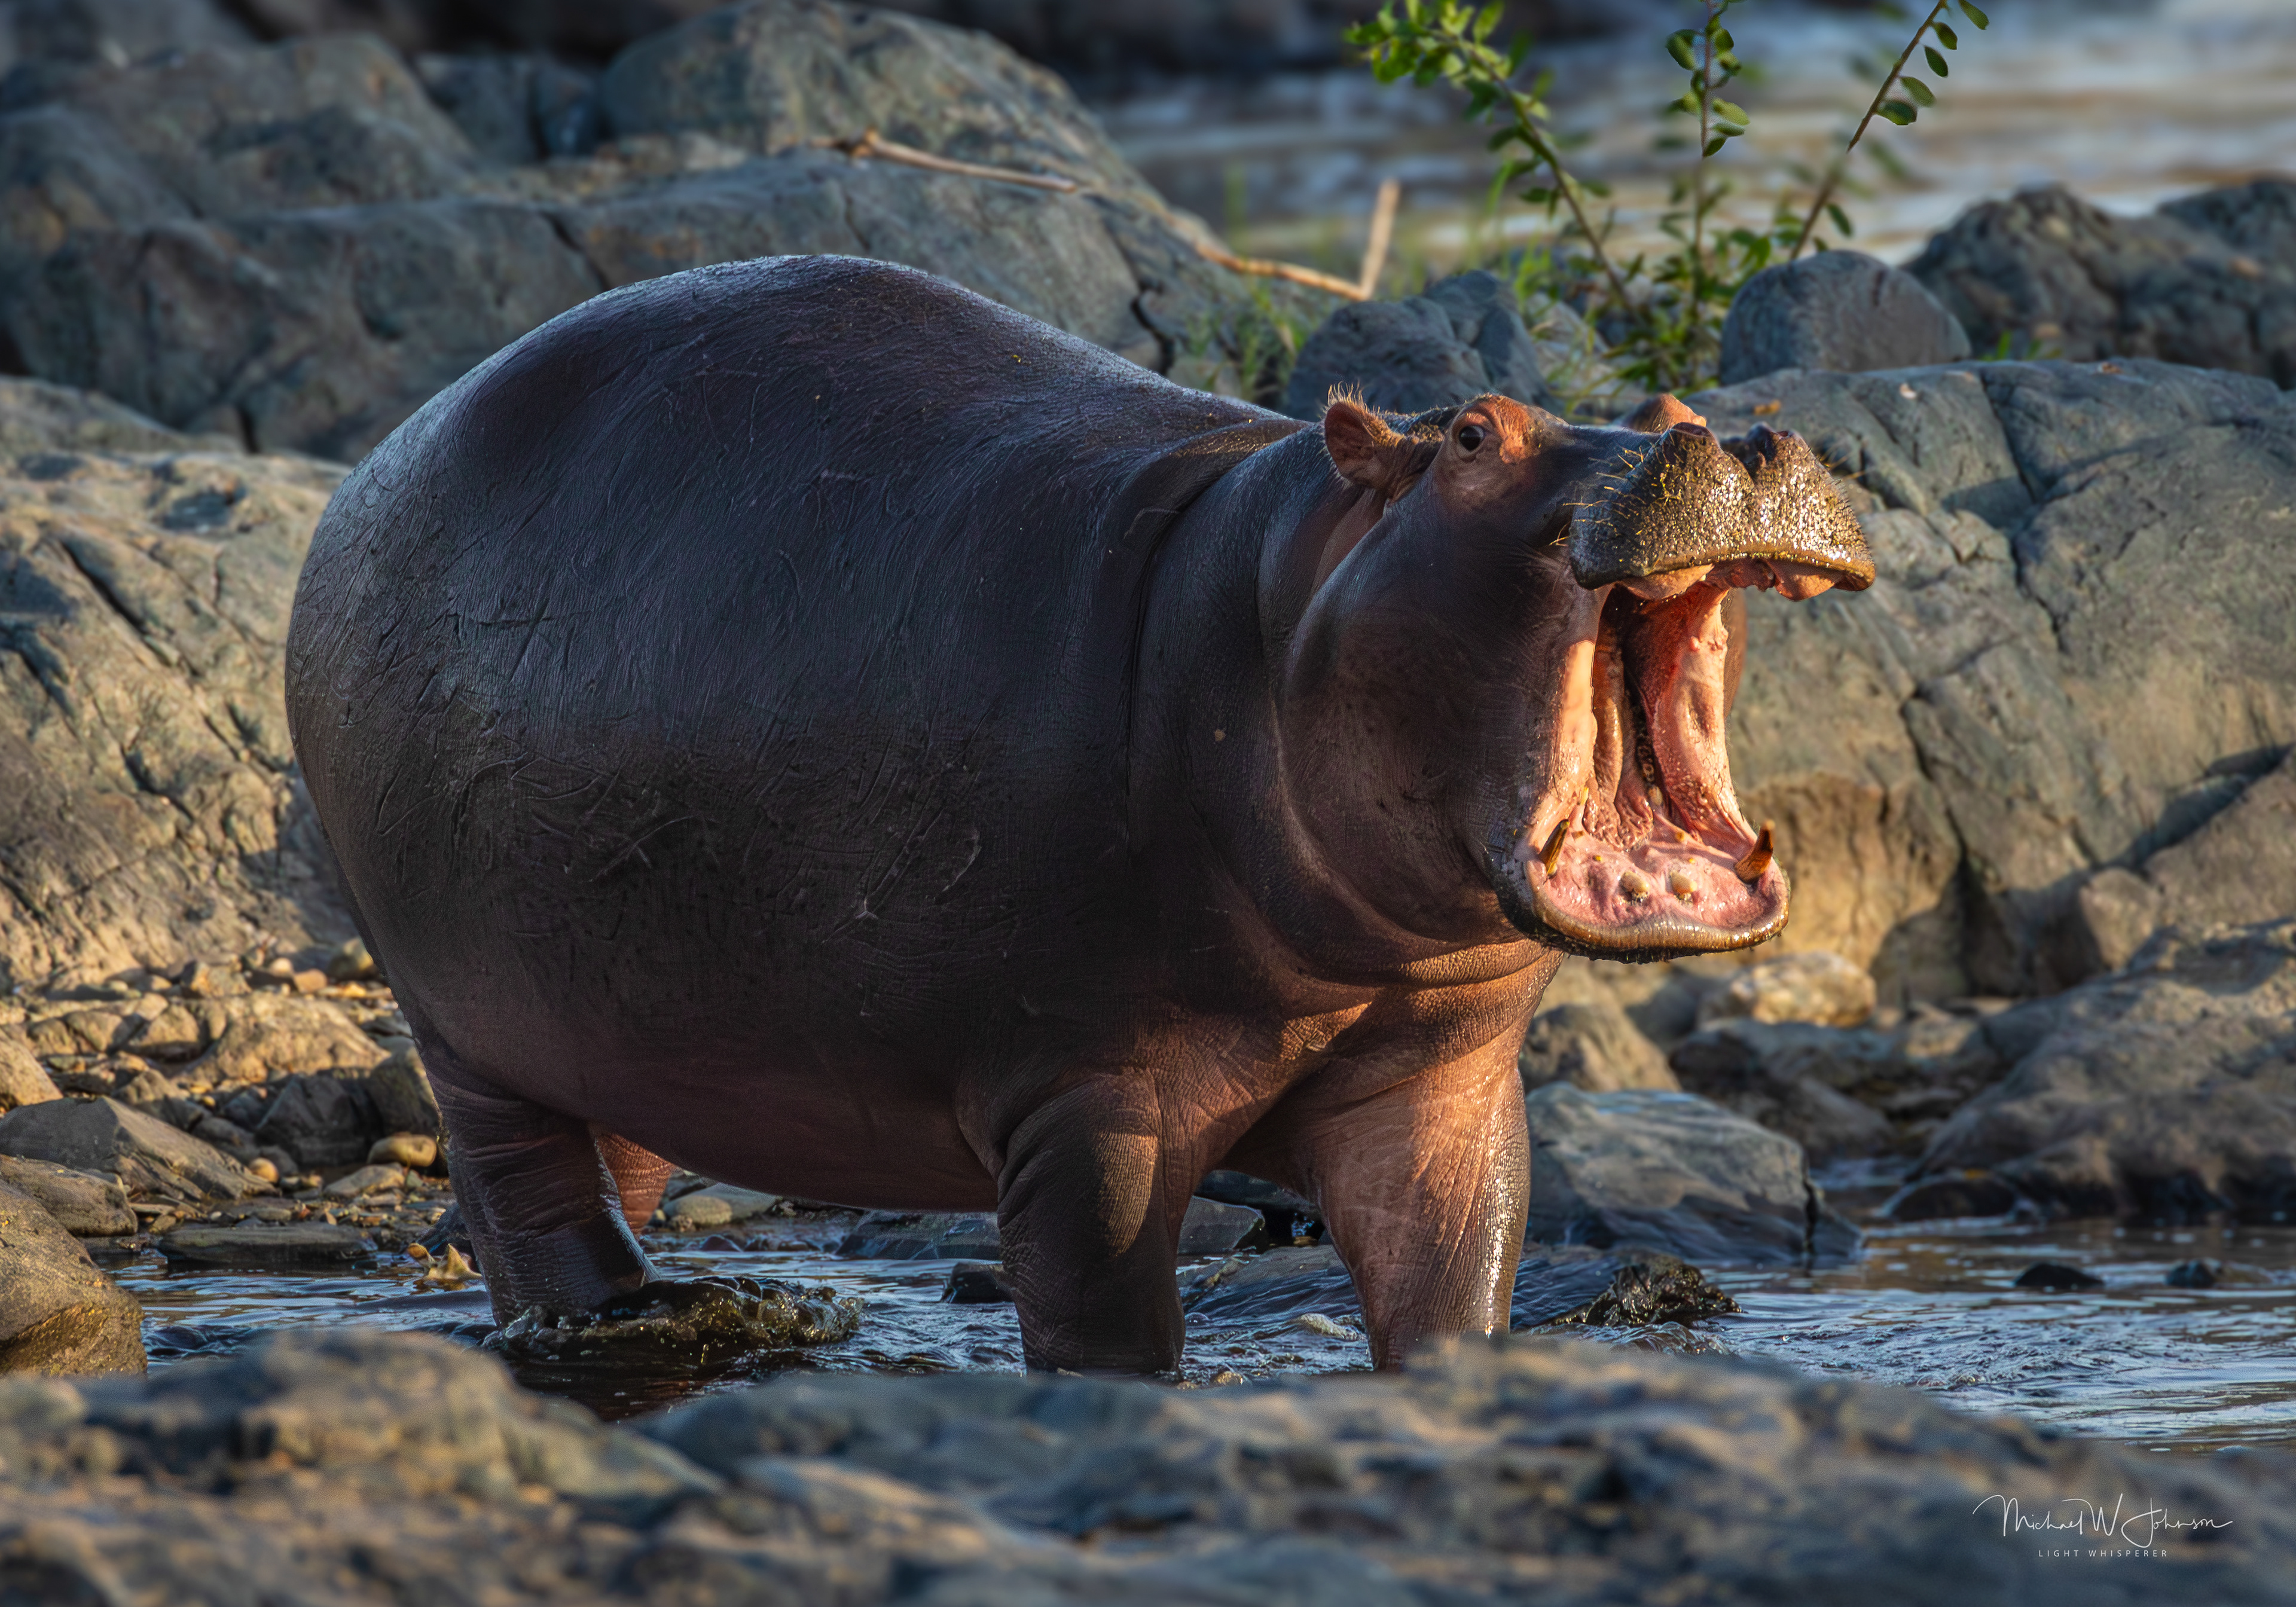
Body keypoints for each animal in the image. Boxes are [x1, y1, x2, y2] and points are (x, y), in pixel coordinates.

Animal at [285, 256, 1870, 1373]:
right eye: (1475, 434)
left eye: (1670, 415)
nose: (1735, 439)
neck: (1262, 611)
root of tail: (375, 466)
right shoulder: (1087, 1097)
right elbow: (1105, 1318)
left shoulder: (1442, 1083)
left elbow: (1455, 1279)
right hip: (464, 1023)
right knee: (526, 1199)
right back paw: (619, 1320)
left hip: (617, 1013)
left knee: (609, 1156)